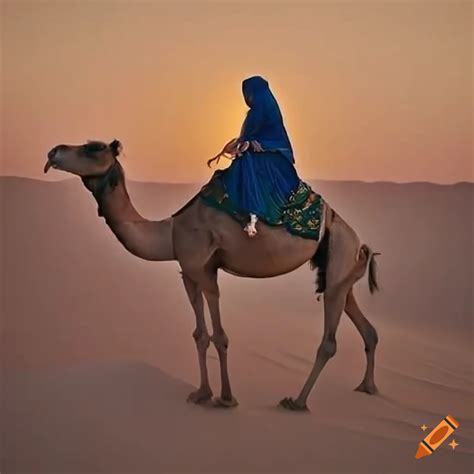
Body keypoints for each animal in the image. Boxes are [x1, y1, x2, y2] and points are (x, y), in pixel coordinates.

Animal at [45, 139, 382, 410]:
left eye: (92, 148)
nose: (53, 152)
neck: (170, 232)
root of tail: (359, 240)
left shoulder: (207, 273)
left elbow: (219, 336)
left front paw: (226, 398)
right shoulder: (190, 273)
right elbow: (199, 335)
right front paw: (201, 393)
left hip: (339, 256)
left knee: (329, 342)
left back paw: (296, 402)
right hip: (341, 273)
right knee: (365, 327)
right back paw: (367, 387)